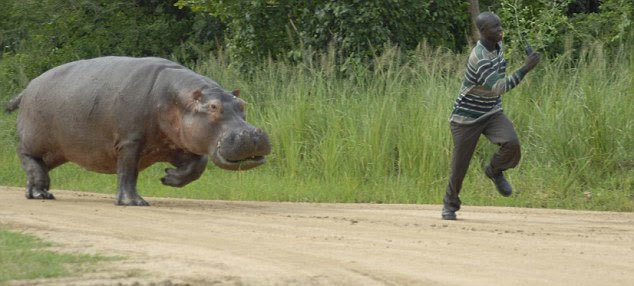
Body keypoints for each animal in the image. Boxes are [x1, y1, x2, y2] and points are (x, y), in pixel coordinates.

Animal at [5, 56, 272, 206]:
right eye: (214, 107)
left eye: (242, 104)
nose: (253, 134)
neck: (178, 99)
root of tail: (28, 87)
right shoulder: (129, 142)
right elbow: (127, 172)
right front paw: (134, 202)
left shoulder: (176, 144)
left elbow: (198, 165)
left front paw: (169, 178)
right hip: (37, 140)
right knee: (25, 154)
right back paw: (42, 194)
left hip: (59, 151)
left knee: (38, 167)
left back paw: (37, 193)